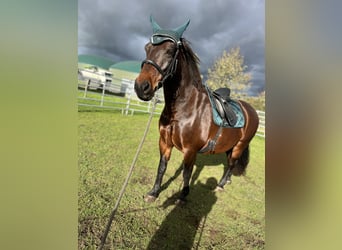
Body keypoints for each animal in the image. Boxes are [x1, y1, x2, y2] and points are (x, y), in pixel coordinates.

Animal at [135, 16, 258, 202]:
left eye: (170, 51)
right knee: (231, 162)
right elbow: (161, 167)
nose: (141, 87)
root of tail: (251, 110)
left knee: (232, 163)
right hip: (231, 145)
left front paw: (183, 196)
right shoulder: (164, 143)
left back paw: (221, 185)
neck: (183, 110)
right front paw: (153, 193)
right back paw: (227, 181)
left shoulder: (190, 150)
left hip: (240, 145)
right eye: (147, 48)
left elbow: (187, 173)